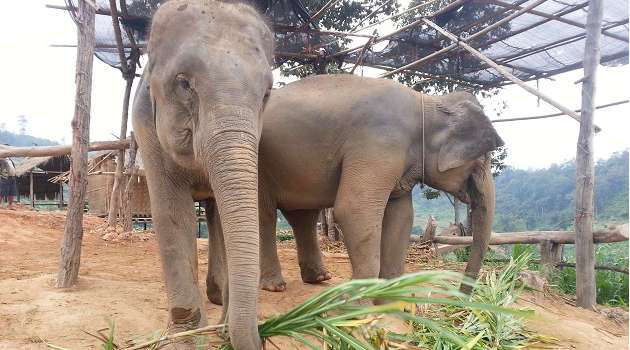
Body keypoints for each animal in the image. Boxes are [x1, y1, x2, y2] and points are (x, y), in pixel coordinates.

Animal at [210, 73, 506, 304]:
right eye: (483, 159)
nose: (462, 297)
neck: (426, 103)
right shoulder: (377, 144)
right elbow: (355, 210)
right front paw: (357, 302)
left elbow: (401, 217)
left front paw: (390, 299)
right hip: (255, 165)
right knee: (264, 215)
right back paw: (275, 286)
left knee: (303, 217)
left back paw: (319, 278)